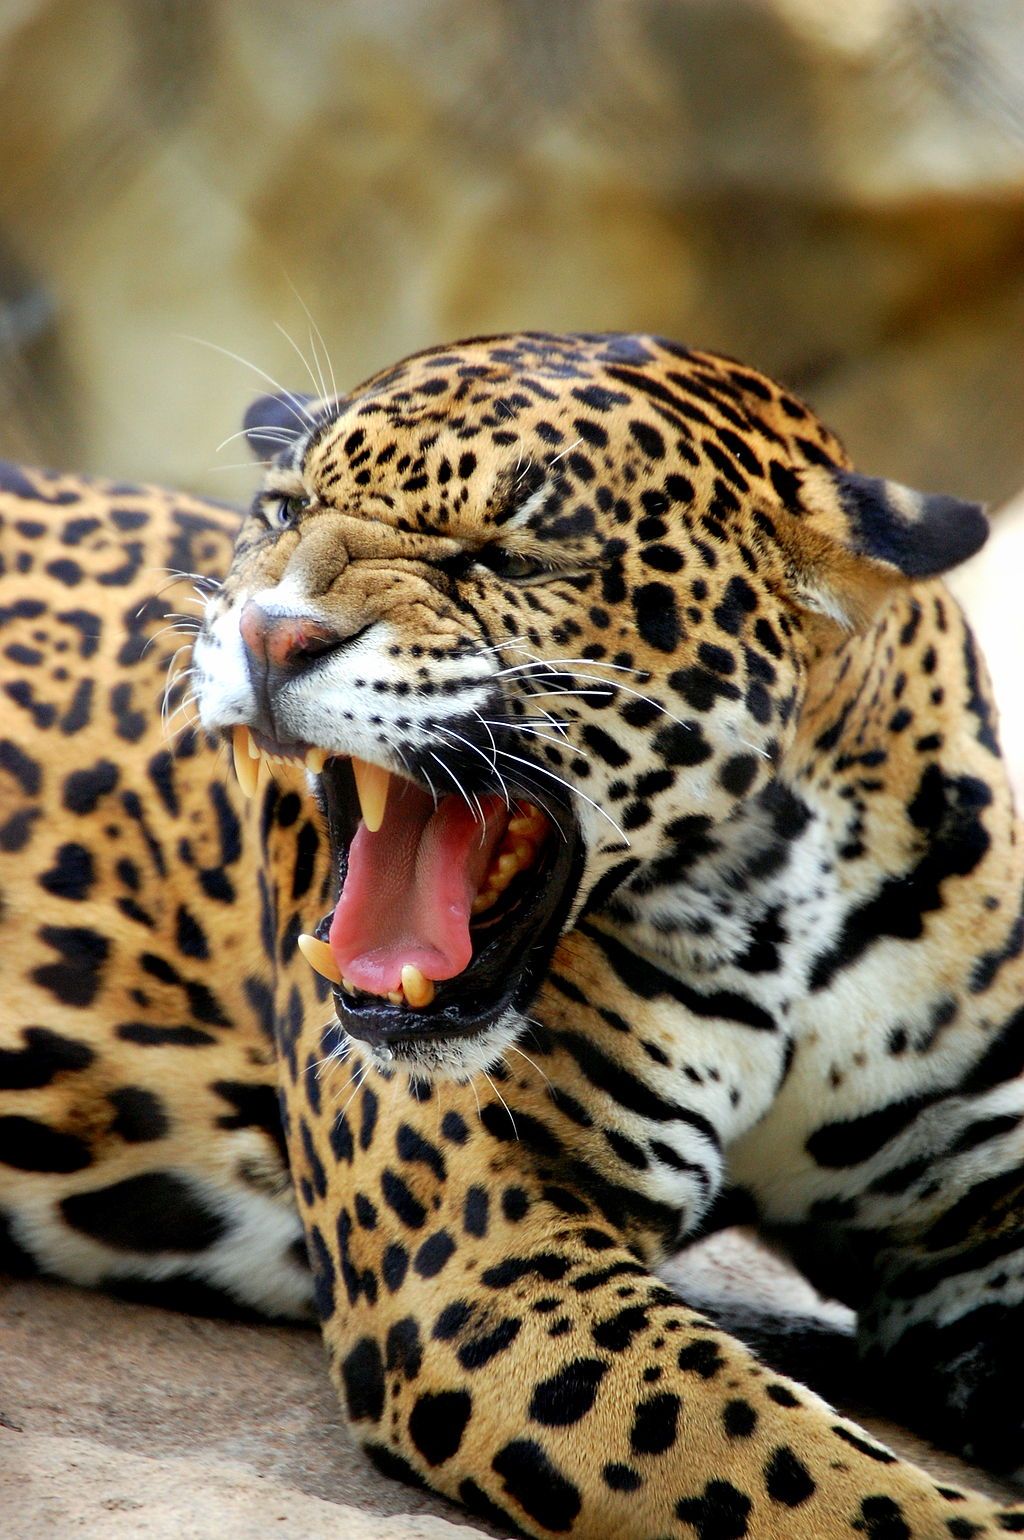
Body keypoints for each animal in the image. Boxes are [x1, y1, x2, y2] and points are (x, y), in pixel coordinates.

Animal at [3, 330, 1024, 1539]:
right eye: (280, 510)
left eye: (511, 558)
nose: (268, 632)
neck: (770, 896)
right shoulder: (488, 1261)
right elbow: (828, 1482)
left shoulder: (977, 1227)